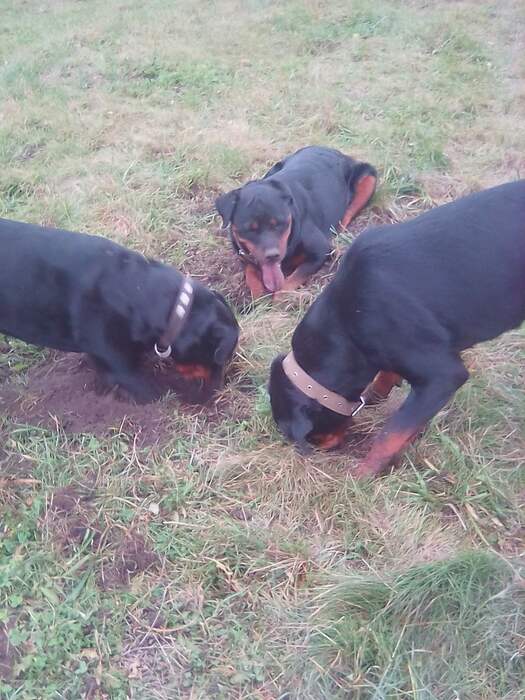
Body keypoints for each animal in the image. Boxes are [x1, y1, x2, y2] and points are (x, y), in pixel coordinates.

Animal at [215, 146, 377, 298]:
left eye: (279, 223)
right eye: (250, 229)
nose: (272, 255)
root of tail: (331, 149)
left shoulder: (321, 252)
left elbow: (291, 281)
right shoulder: (243, 254)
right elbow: (250, 273)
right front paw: (259, 296)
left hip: (369, 176)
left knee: (350, 211)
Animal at [269, 180, 525, 476]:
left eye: (312, 435)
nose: (321, 447)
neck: (347, 321)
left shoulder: (442, 377)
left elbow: (390, 433)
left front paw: (363, 475)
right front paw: (378, 395)